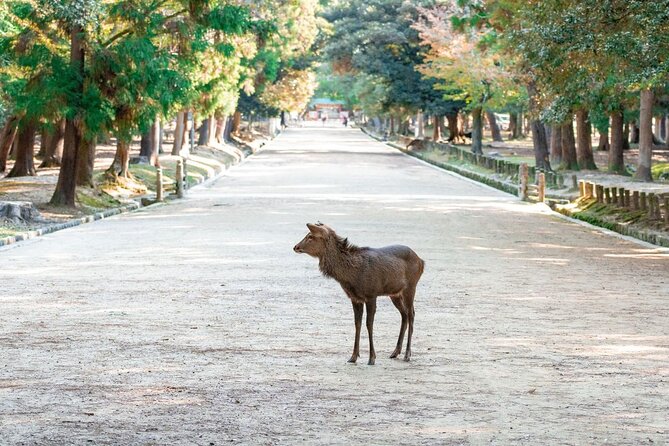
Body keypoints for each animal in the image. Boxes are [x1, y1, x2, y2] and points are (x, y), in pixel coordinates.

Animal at [290, 223, 422, 366]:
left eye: (310, 236)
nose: (296, 246)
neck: (351, 275)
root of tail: (421, 261)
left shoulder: (371, 294)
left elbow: (369, 324)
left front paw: (372, 358)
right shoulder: (355, 298)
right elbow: (357, 324)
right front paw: (353, 356)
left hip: (411, 287)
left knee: (411, 314)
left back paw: (407, 355)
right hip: (395, 293)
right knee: (404, 314)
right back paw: (395, 352)